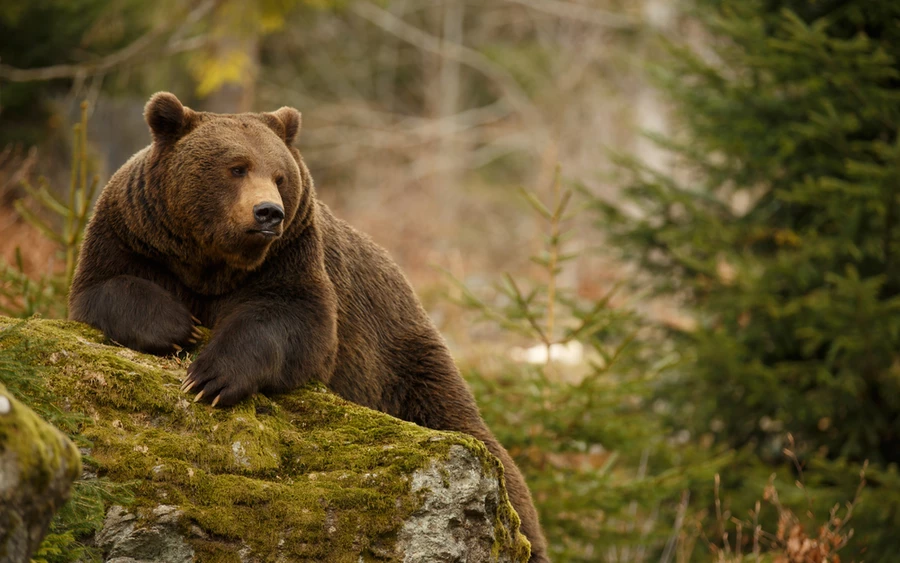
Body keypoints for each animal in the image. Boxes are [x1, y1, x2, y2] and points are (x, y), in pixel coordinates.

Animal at [68, 90, 548, 560]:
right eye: (236, 167)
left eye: (280, 175)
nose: (268, 213)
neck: (213, 263)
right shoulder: (134, 234)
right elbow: (104, 287)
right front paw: (178, 326)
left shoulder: (292, 257)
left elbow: (294, 324)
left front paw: (210, 377)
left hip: (402, 361)